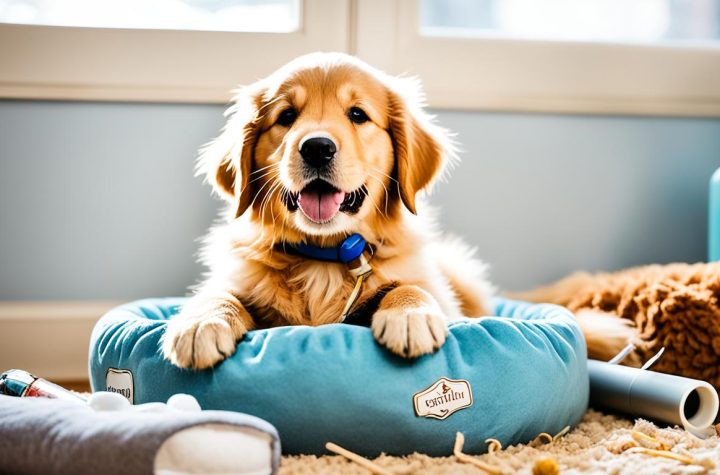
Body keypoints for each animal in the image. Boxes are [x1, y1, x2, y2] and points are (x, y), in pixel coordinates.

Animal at [162, 53, 496, 372]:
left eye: (358, 114)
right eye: (286, 116)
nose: (317, 148)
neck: (323, 260)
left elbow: (410, 286)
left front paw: (412, 314)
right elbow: (219, 293)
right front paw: (203, 322)